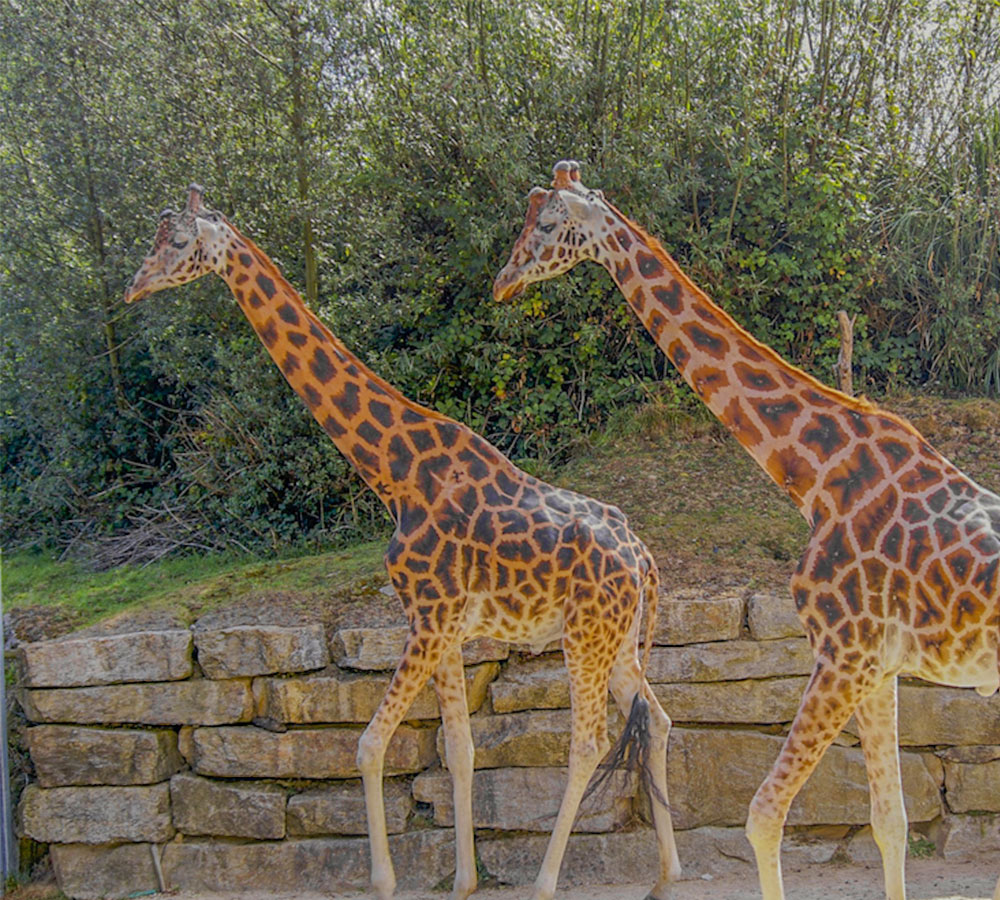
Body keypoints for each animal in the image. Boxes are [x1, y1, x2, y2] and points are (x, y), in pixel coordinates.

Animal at [125, 185, 684, 900]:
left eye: (174, 242)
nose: (134, 288)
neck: (396, 474)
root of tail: (644, 559)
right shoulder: (444, 628)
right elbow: (460, 750)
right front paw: (464, 880)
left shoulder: (429, 618)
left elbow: (368, 745)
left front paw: (384, 880)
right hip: (617, 639)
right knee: (657, 720)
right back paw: (667, 874)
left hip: (584, 636)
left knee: (587, 742)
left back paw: (545, 881)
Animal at [492, 162, 1000, 900]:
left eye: (550, 224)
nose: (501, 280)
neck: (818, 477)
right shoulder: (875, 667)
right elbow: (889, 822)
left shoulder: (842, 654)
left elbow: (762, 815)